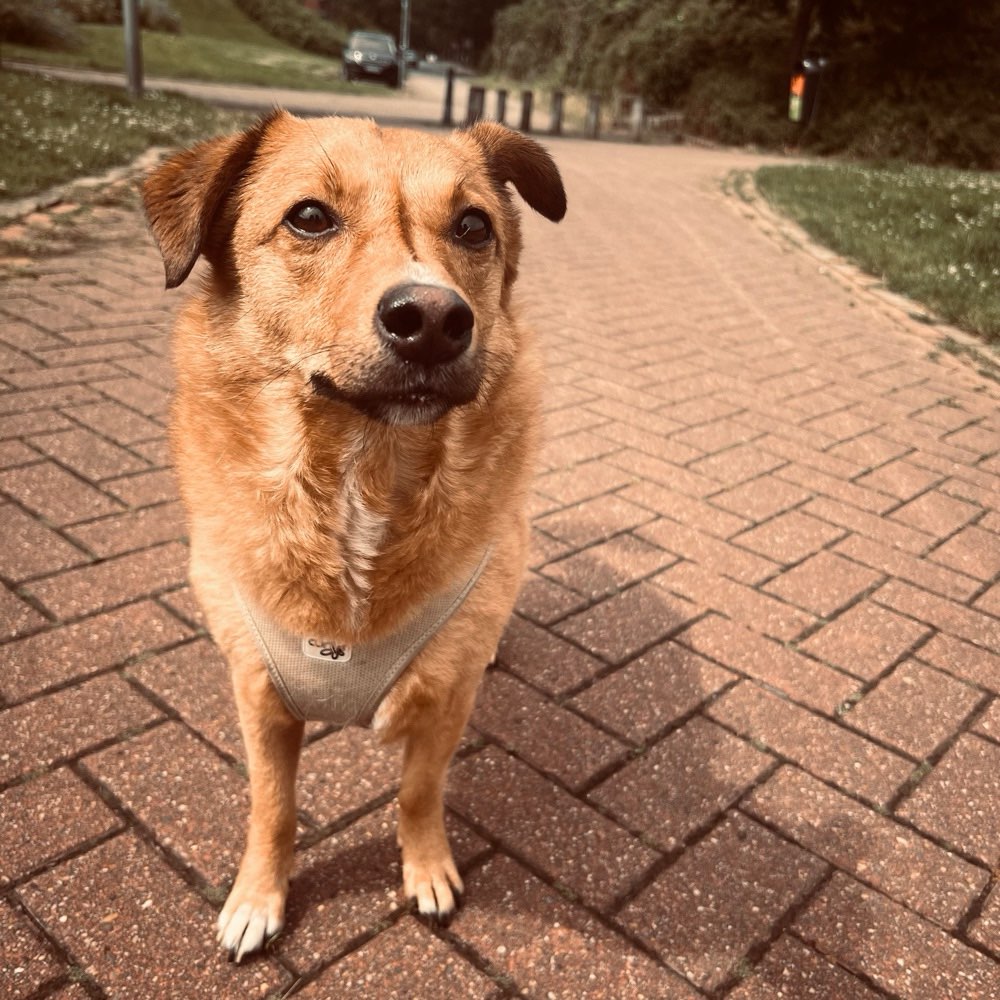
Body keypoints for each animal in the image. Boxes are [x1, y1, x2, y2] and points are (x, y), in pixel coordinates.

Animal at [143, 111, 564, 960]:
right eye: (309, 216)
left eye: (474, 226)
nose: (433, 321)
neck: (360, 480)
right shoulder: (259, 699)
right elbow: (272, 808)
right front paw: (258, 896)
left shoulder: (443, 706)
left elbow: (418, 792)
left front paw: (425, 867)